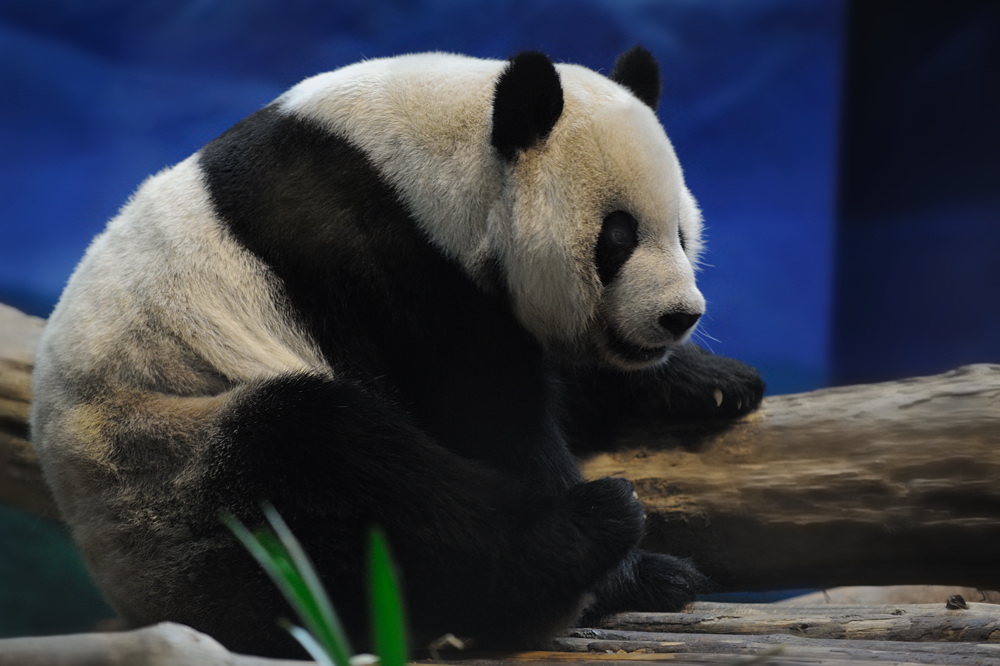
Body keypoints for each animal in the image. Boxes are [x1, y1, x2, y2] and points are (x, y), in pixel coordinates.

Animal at [31, 47, 763, 657]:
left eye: (682, 232)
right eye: (618, 237)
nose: (679, 316)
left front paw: (714, 382)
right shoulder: (382, 267)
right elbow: (488, 420)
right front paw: (628, 570)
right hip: (171, 469)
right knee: (338, 462)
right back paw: (589, 533)